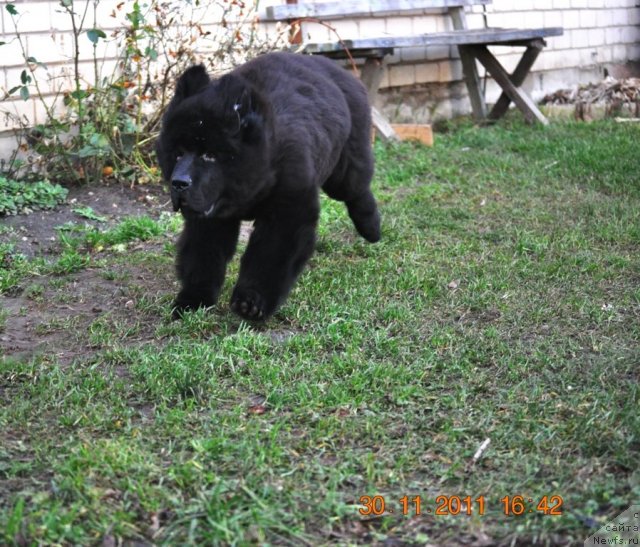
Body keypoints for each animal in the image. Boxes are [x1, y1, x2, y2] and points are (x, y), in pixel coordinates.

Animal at [157, 53, 380, 318]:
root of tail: (339, 71)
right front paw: (193, 300)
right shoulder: (210, 217)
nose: (179, 183)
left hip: (344, 169)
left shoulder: (288, 213)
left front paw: (252, 302)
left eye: (210, 155)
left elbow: (269, 259)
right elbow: (202, 257)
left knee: (358, 190)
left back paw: (372, 229)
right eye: (178, 154)